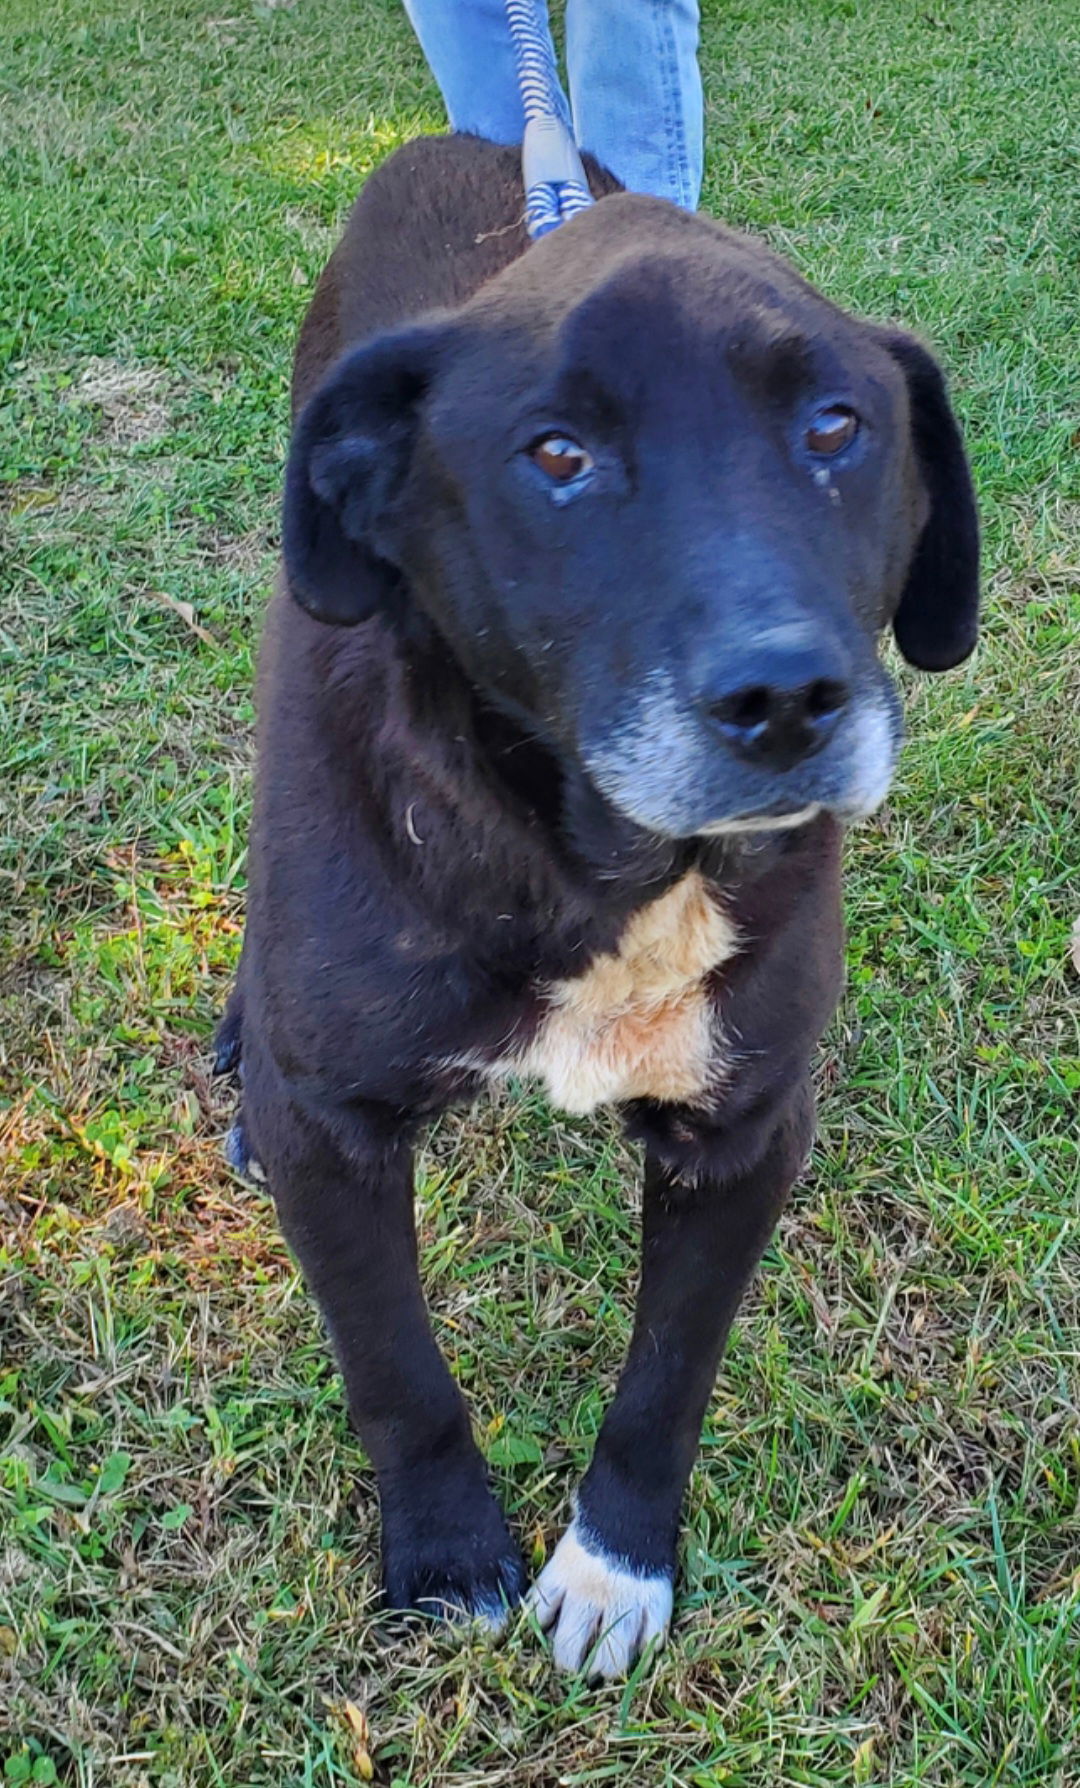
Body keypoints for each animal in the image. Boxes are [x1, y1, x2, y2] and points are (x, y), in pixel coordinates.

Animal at [219, 135, 979, 1673]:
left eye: (838, 427)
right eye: (559, 458)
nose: (786, 699)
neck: (593, 864)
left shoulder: (741, 1134)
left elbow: (666, 1379)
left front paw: (618, 1564)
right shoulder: (335, 1128)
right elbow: (396, 1369)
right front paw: (448, 1557)